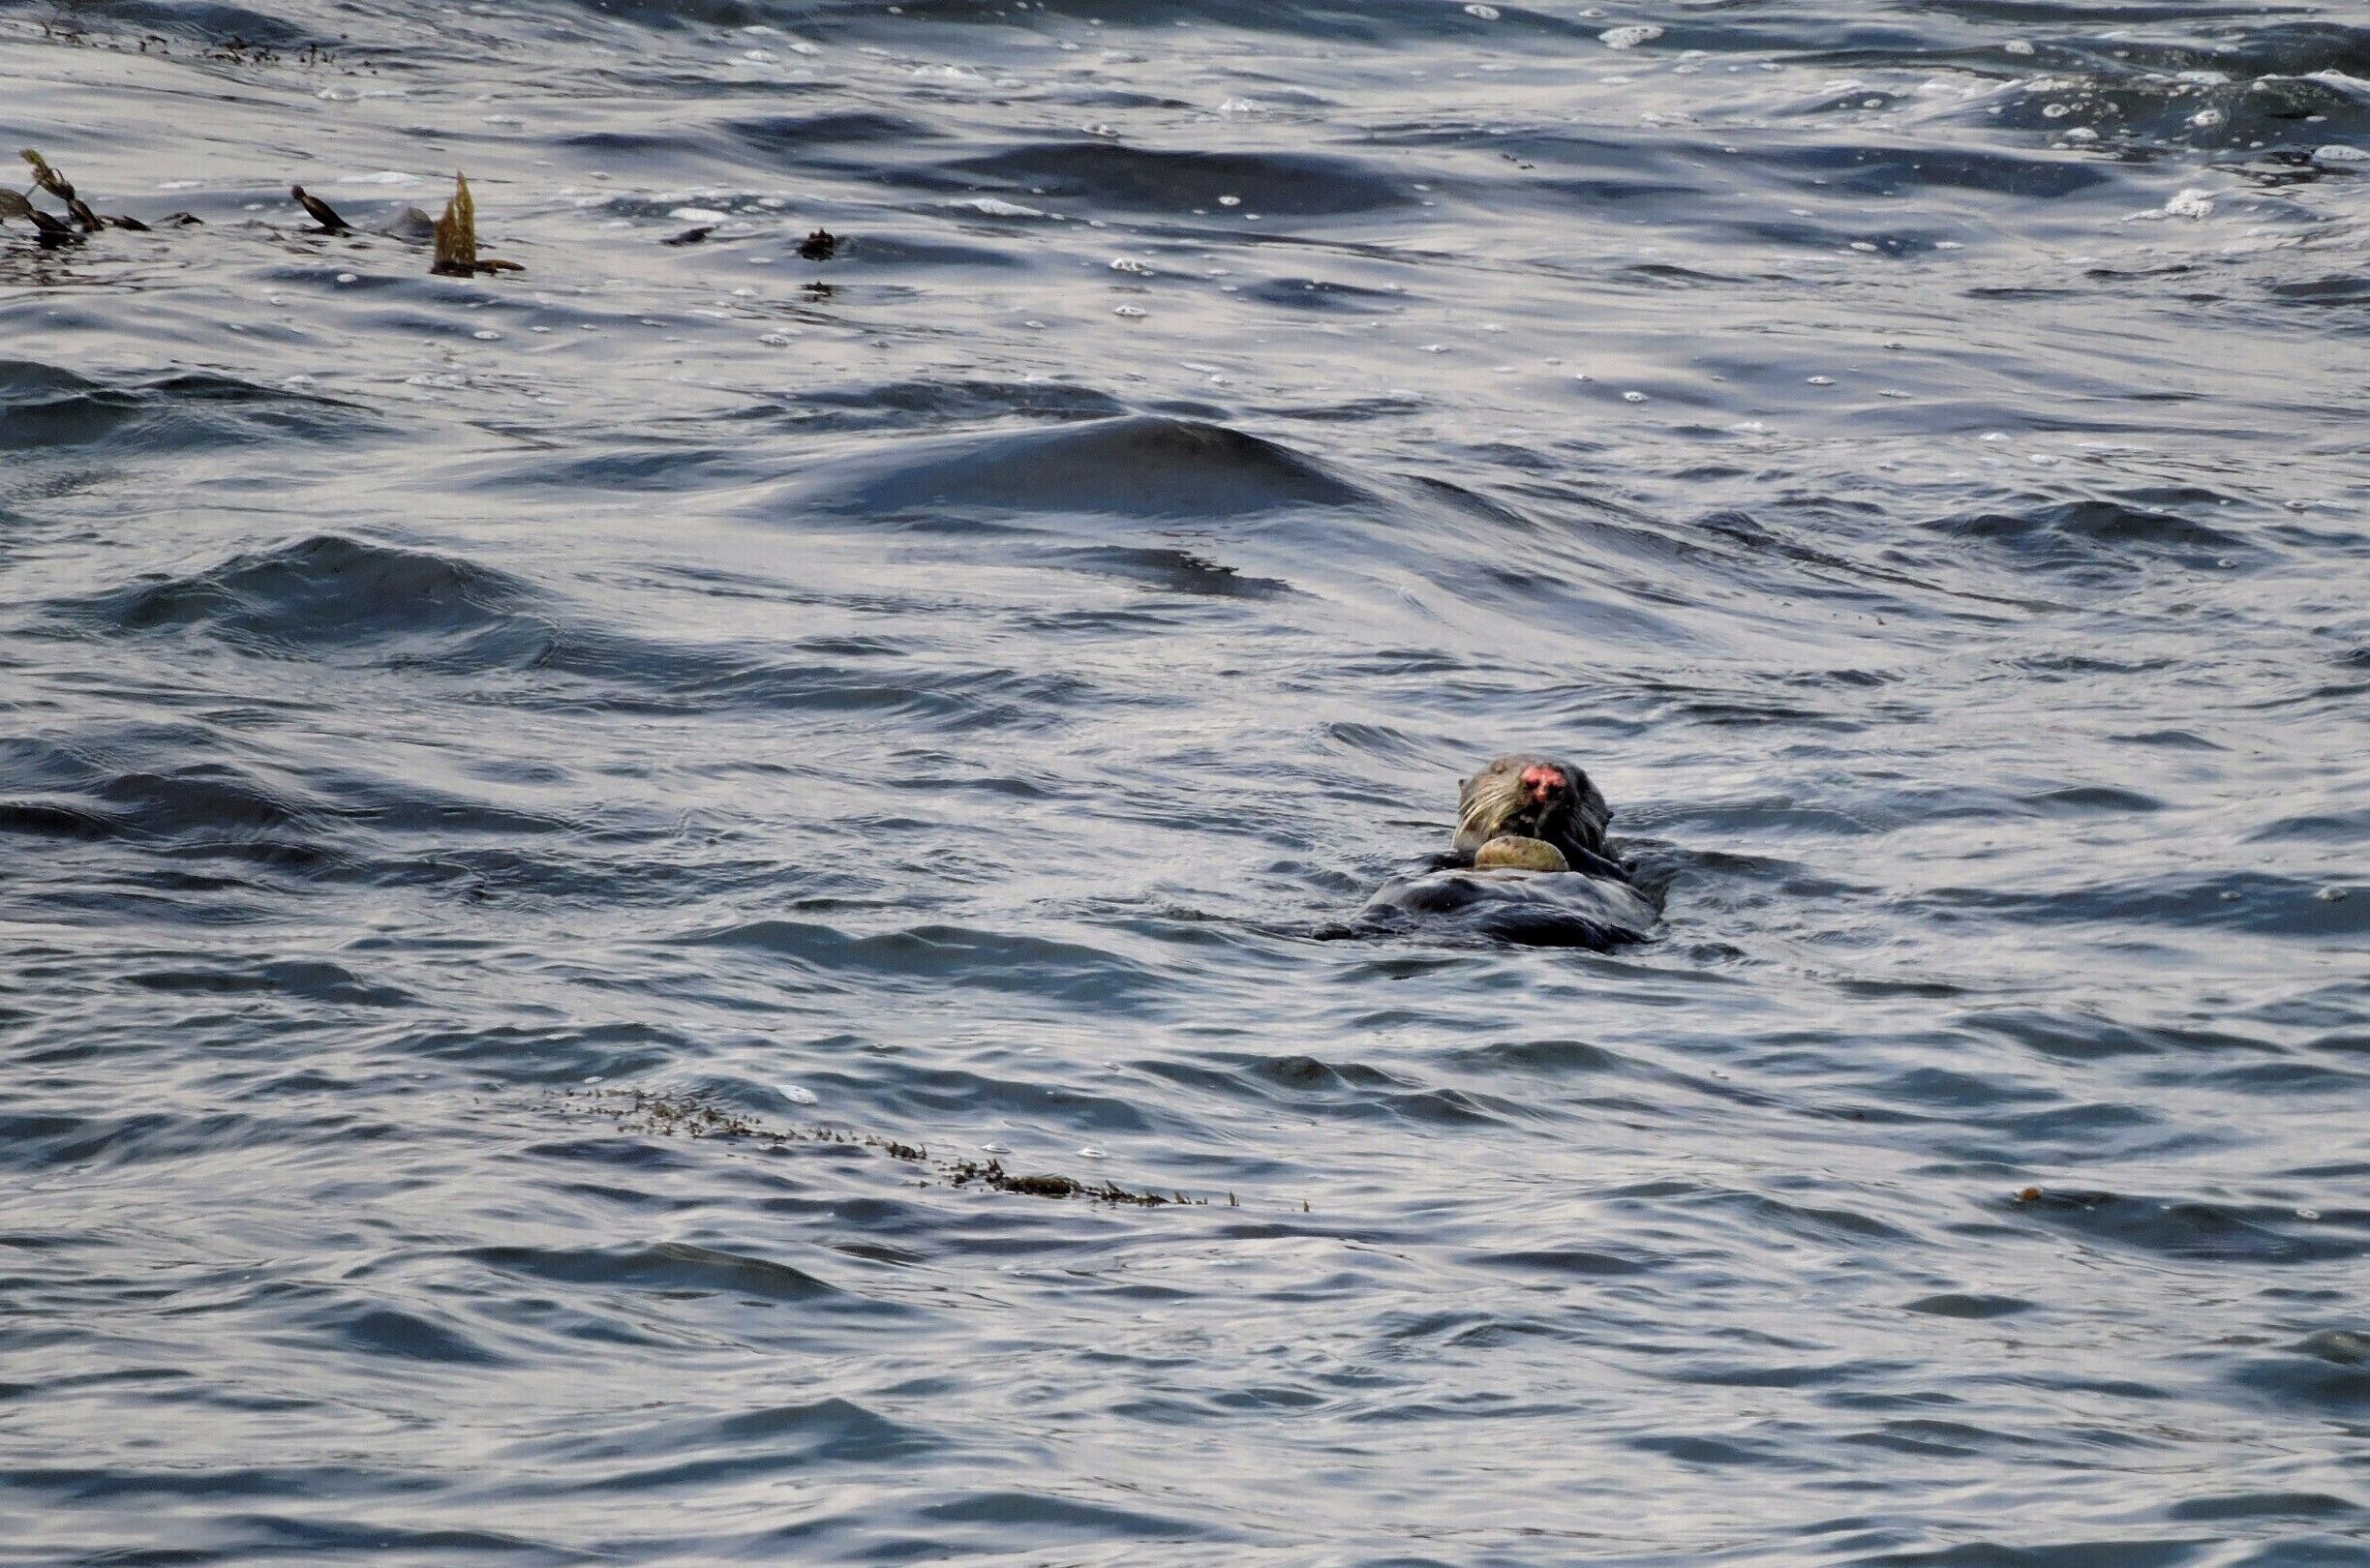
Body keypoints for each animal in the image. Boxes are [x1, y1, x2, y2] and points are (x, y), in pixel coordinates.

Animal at [1335, 754, 1658, 949]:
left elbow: (1603, 866)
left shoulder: (1616, 869)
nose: (1544, 778)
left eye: (1583, 782)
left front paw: (1547, 818)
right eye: (1499, 769)